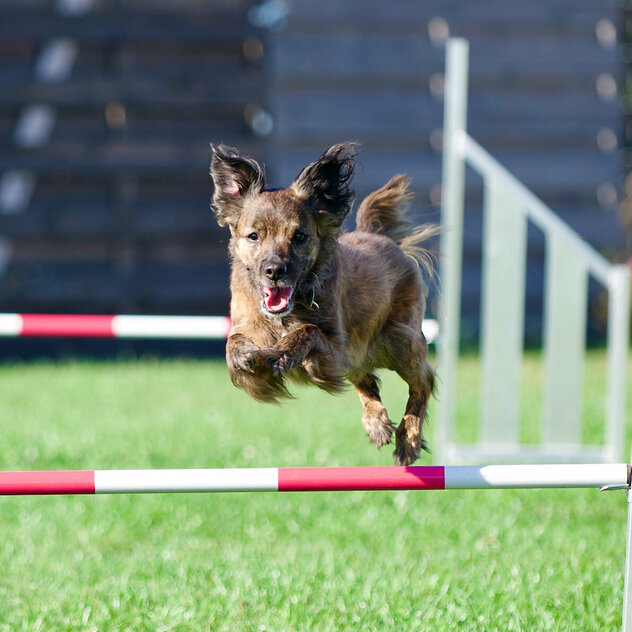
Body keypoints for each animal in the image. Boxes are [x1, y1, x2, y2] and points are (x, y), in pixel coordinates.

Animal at [210, 142, 436, 464]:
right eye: (254, 236)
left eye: (299, 236)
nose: (274, 271)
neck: (287, 312)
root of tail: (380, 236)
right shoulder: (248, 325)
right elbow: (233, 342)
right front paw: (244, 357)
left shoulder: (335, 353)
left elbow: (308, 331)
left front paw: (284, 351)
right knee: (367, 380)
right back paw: (377, 423)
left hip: (399, 342)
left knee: (423, 380)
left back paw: (409, 438)